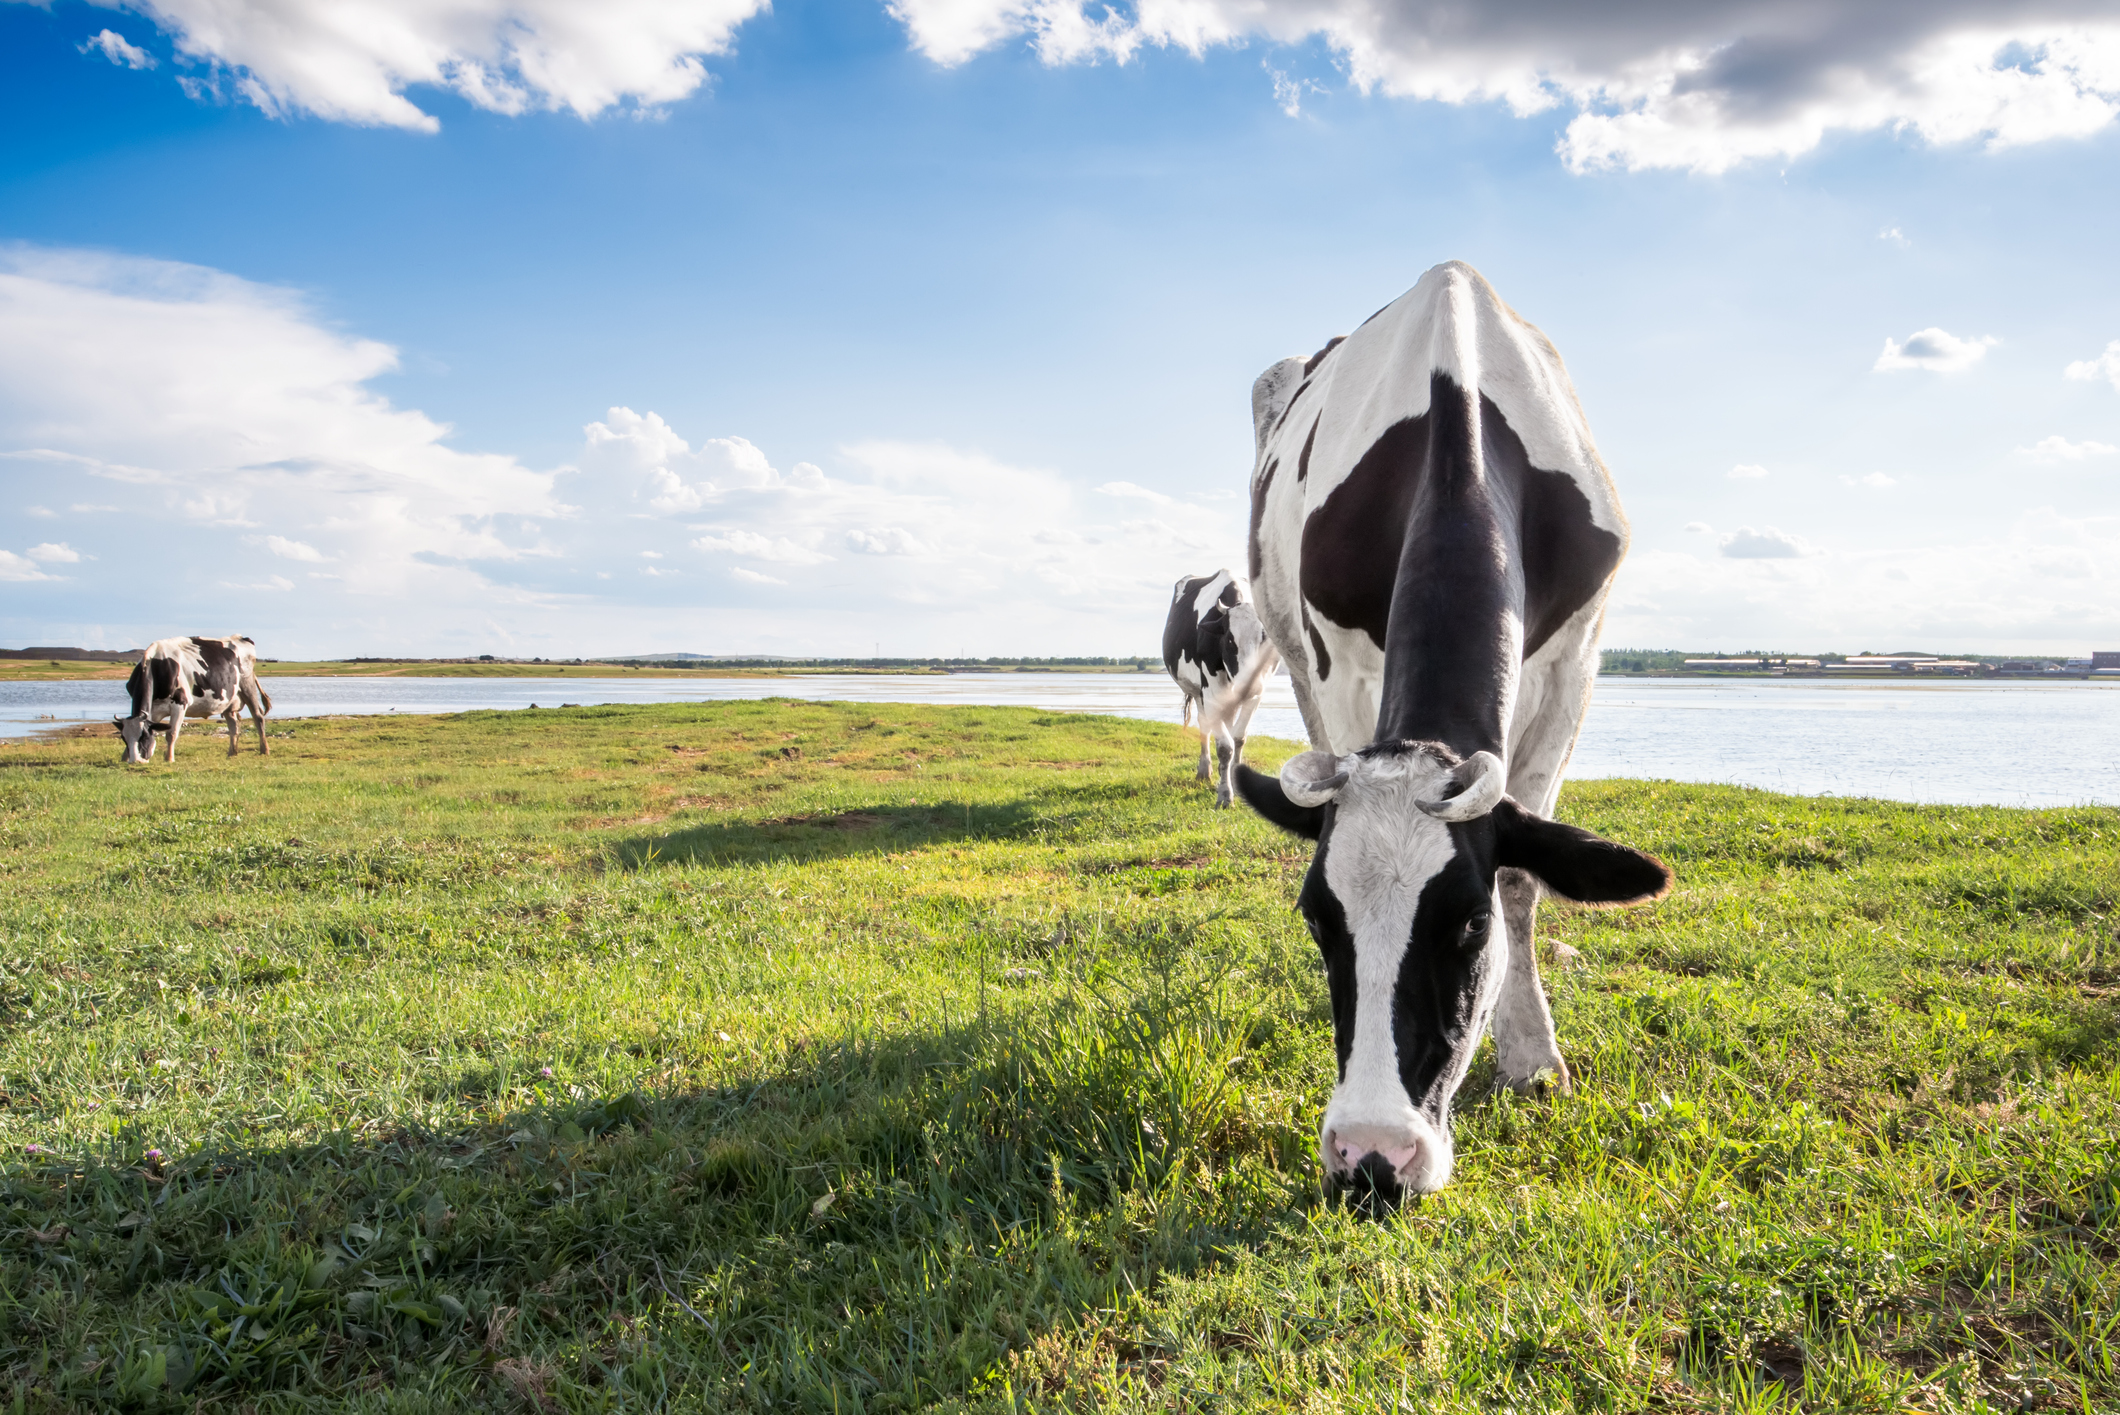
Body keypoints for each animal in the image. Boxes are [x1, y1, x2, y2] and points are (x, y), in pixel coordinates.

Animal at [116, 636, 273, 764]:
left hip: (247, 684)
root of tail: (240, 637)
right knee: (234, 725)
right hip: (228, 699)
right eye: (123, 738)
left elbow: (171, 733)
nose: (136, 761)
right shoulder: (154, 709)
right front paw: (124, 758)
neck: (157, 666)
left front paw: (169, 759)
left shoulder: (180, 702)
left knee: (258, 716)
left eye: (143, 737)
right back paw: (231, 753)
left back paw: (264, 750)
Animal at [1163, 570, 1281, 808]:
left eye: (1265, 639)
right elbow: (1225, 746)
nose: (1249, 683)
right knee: (1205, 725)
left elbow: (1239, 738)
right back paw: (1204, 770)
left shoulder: (1257, 694)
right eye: (1229, 640)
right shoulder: (1211, 693)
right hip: (1199, 692)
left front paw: (1235, 782)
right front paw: (1225, 795)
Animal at [1235, 261, 1671, 1204]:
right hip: (1287, 640)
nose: (1371, 1158)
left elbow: (1525, 876)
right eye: (1317, 916)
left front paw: (1534, 1056)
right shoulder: (1341, 663)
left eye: (1469, 924)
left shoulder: (1576, 659)